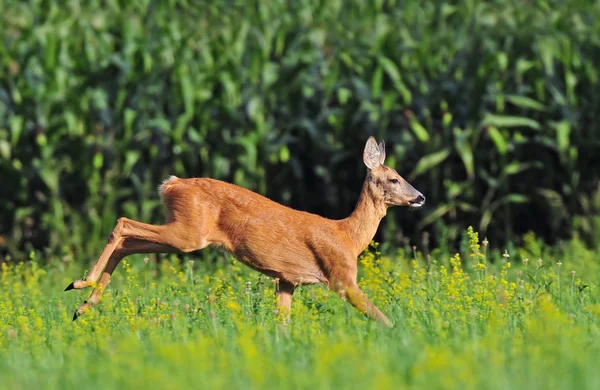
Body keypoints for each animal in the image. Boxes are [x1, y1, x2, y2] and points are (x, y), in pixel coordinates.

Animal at [64, 137, 426, 326]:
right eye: (394, 178)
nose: (420, 197)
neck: (348, 236)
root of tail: (171, 184)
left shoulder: (287, 280)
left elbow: (283, 324)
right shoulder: (341, 278)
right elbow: (380, 317)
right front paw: (401, 335)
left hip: (182, 233)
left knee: (128, 242)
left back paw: (82, 304)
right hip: (189, 234)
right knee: (124, 223)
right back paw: (81, 285)